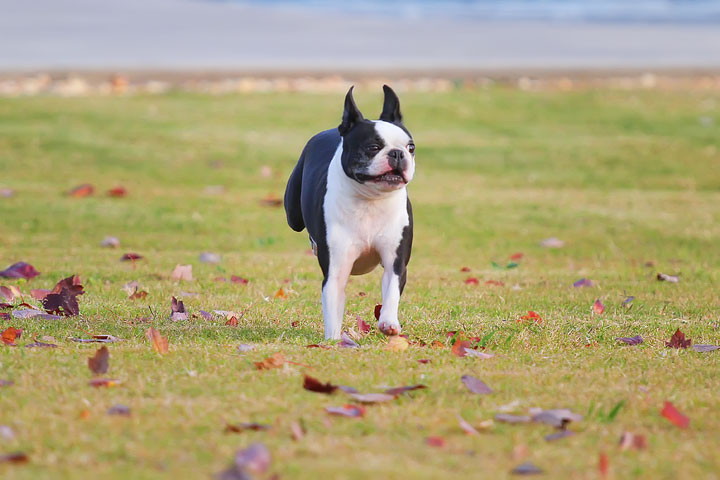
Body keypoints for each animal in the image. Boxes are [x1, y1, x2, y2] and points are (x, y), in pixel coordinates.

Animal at [284, 87, 414, 342]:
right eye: (373, 147)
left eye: (410, 148)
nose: (397, 153)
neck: (370, 200)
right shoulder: (336, 270)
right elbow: (333, 306)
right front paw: (334, 341)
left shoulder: (395, 261)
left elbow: (392, 291)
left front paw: (388, 322)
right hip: (293, 214)